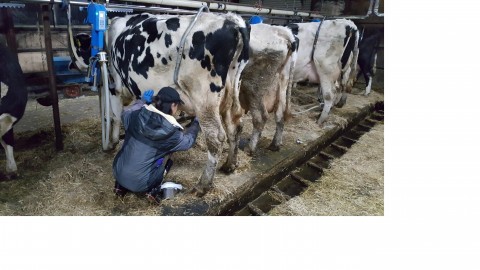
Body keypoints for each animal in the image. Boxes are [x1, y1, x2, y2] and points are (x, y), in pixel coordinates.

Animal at [69, 12, 249, 195]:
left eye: (78, 48)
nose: (71, 65)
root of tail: (233, 20)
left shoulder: (114, 86)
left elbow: (115, 116)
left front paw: (112, 142)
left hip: (205, 98)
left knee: (216, 137)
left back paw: (203, 185)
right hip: (231, 94)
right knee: (235, 126)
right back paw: (230, 165)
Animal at [238, 23, 298, 156]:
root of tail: (280, 30)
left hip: (253, 87)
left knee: (261, 117)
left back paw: (250, 148)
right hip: (281, 83)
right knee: (280, 115)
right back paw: (275, 145)